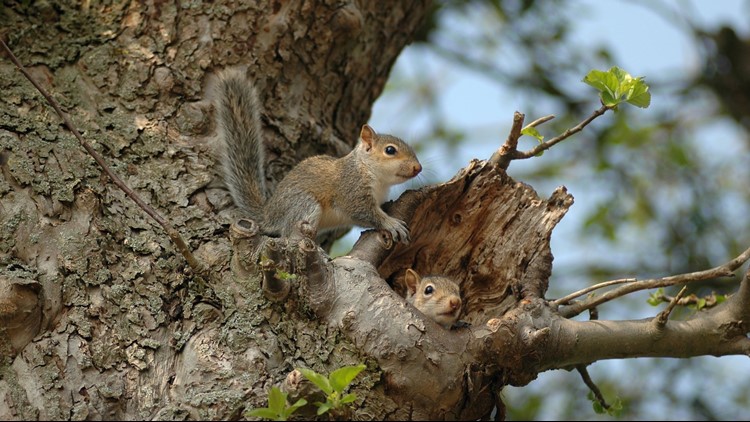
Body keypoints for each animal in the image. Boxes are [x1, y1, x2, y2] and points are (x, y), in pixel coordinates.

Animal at [212, 67, 424, 242]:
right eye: (390, 150)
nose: (418, 167)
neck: (374, 176)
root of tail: (268, 214)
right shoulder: (351, 189)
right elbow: (363, 213)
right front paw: (391, 223)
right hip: (304, 204)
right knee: (288, 234)